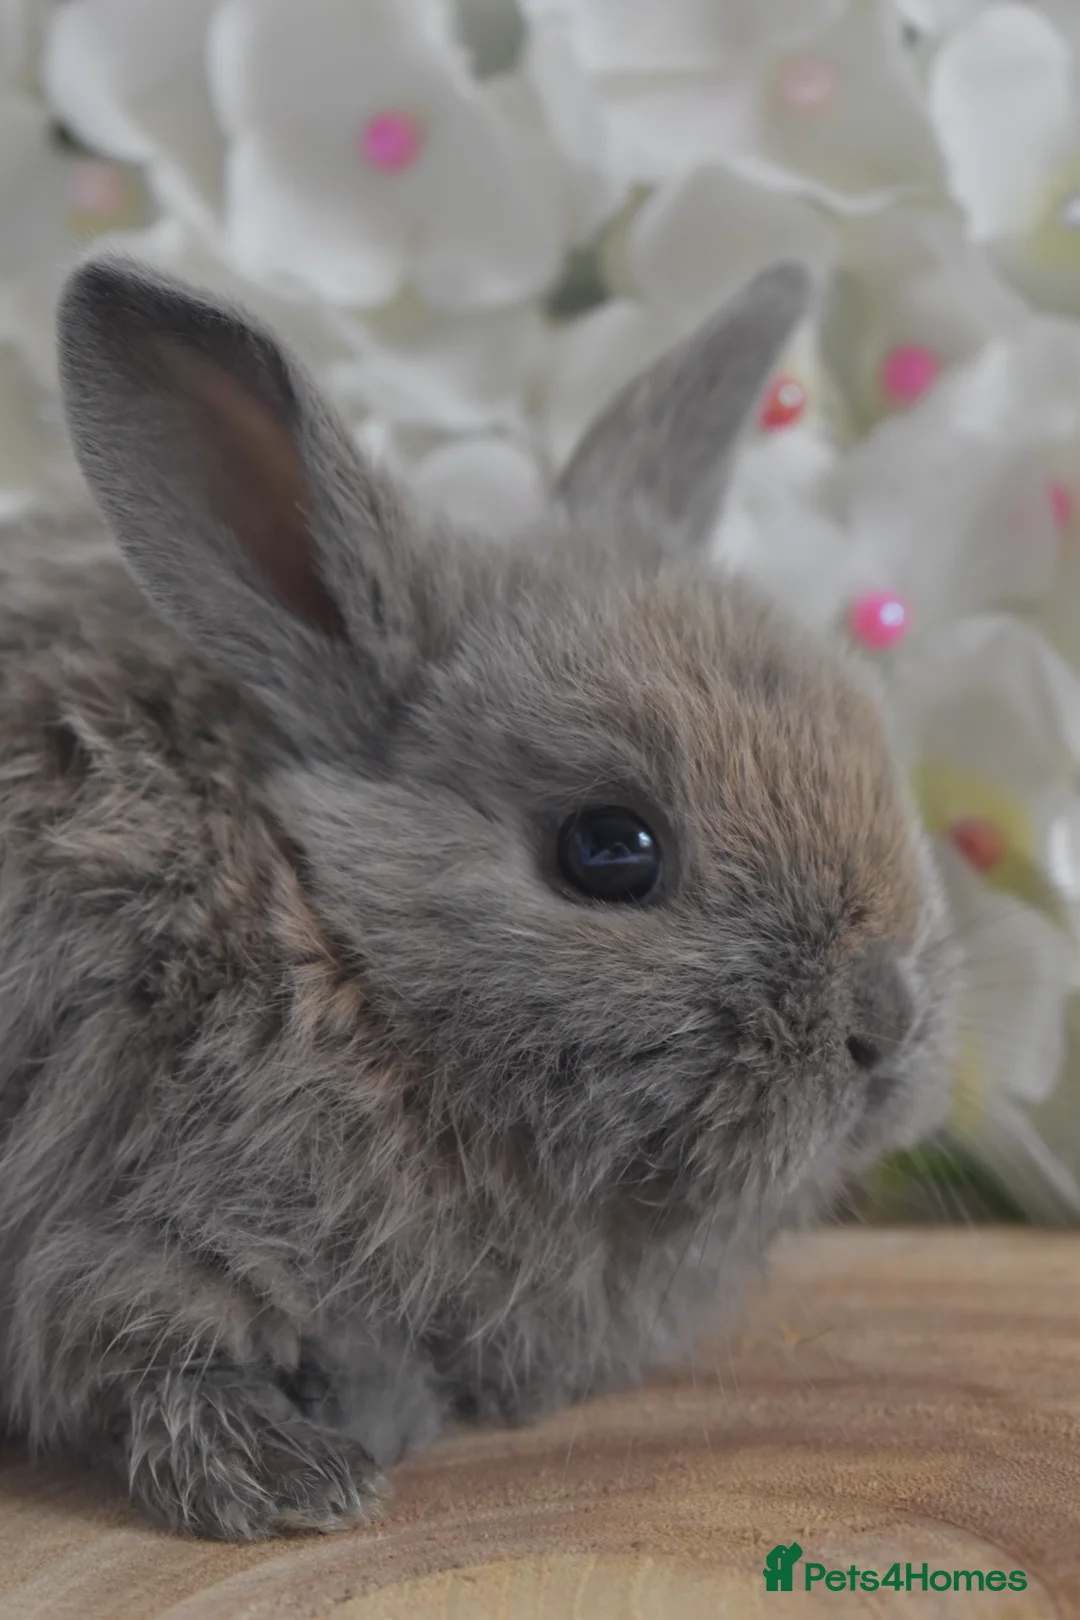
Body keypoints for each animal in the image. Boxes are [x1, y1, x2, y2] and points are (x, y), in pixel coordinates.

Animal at [0, 255, 957, 1542]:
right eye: (609, 849)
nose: (884, 1028)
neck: (338, 951)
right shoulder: (117, 1231)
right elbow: (153, 1368)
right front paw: (305, 1483)